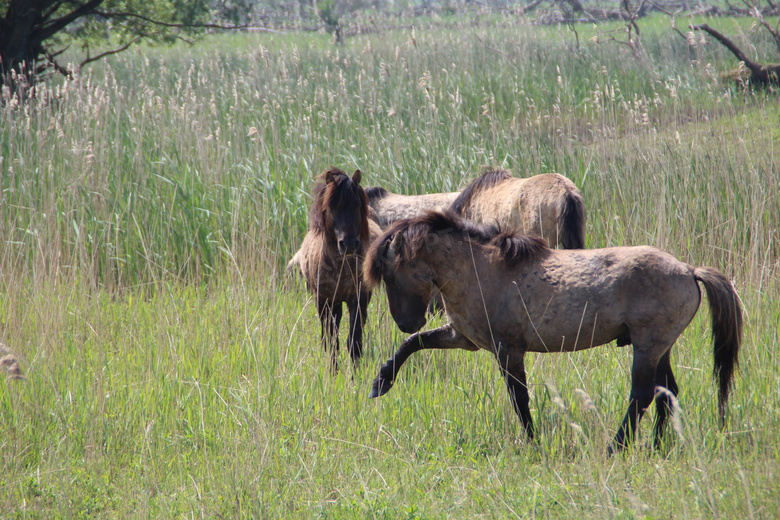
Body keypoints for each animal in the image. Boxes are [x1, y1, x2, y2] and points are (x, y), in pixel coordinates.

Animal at [298, 169, 382, 372]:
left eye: (357, 204)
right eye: (332, 206)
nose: (349, 244)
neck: (339, 268)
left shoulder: (358, 300)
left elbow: (354, 341)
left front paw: (355, 376)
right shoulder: (323, 302)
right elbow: (329, 342)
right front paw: (332, 374)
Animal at [362, 209, 740, 452]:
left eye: (391, 275)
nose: (404, 321)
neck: (479, 270)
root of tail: (688, 270)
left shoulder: (508, 349)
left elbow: (519, 398)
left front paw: (532, 443)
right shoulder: (463, 339)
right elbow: (413, 343)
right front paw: (381, 382)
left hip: (647, 346)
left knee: (643, 395)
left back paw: (615, 448)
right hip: (660, 347)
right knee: (666, 392)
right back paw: (658, 446)